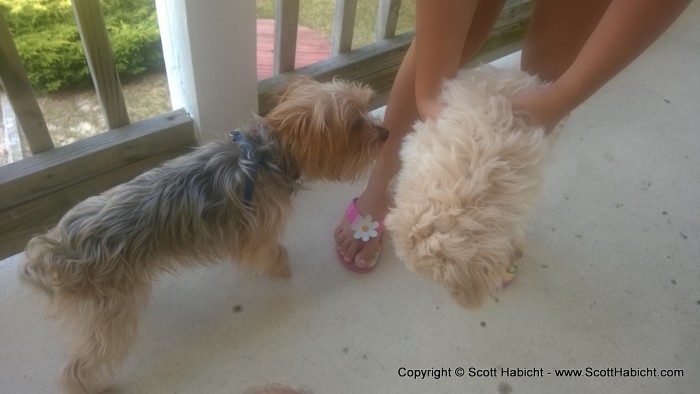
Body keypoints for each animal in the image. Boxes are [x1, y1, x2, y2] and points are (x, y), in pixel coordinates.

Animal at [19, 75, 388, 392]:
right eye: (354, 125)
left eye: (365, 107)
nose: (385, 132)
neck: (265, 154)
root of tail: (53, 249)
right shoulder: (258, 231)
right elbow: (271, 252)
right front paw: (282, 271)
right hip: (110, 308)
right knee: (80, 365)